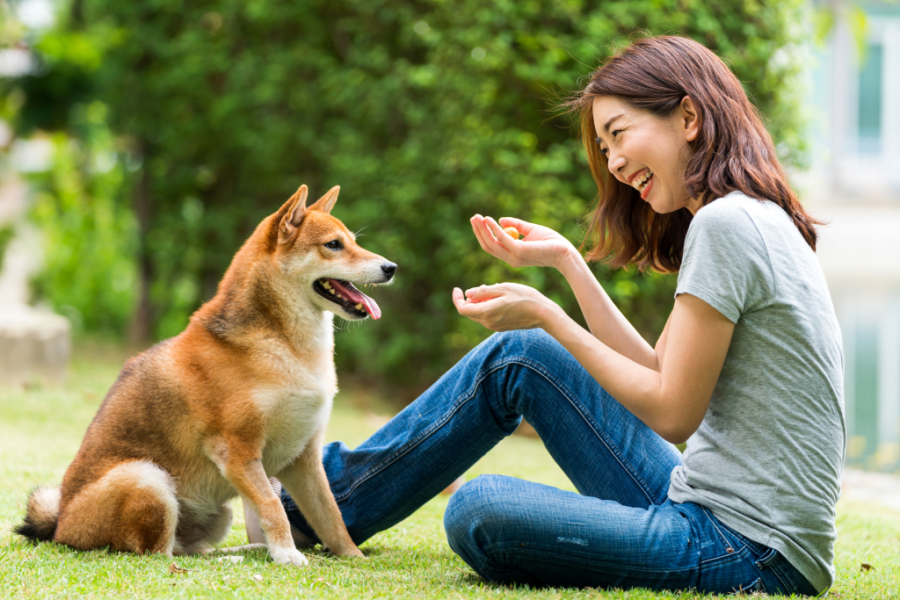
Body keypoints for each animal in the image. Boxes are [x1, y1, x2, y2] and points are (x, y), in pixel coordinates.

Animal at [14, 186, 394, 568]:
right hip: (148, 478)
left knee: (189, 550)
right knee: (160, 555)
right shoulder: (237, 451)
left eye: (353, 241)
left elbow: (331, 517)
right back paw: (234, 560)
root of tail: (62, 526)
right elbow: (274, 509)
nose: (391, 268)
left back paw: (243, 552)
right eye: (333, 245)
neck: (284, 344)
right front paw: (288, 555)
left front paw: (353, 557)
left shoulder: (303, 458)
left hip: (218, 511)